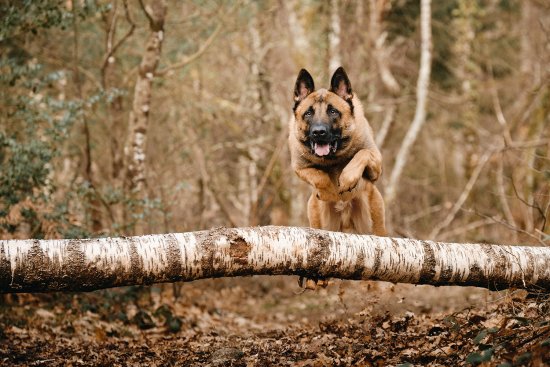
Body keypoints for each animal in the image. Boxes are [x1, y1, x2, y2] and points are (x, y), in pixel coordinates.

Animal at [288, 67, 388, 239]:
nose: (318, 132)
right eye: (308, 113)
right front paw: (329, 191)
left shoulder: (376, 166)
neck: (332, 159)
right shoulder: (299, 168)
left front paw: (347, 179)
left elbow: (362, 153)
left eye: (333, 111)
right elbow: (318, 176)